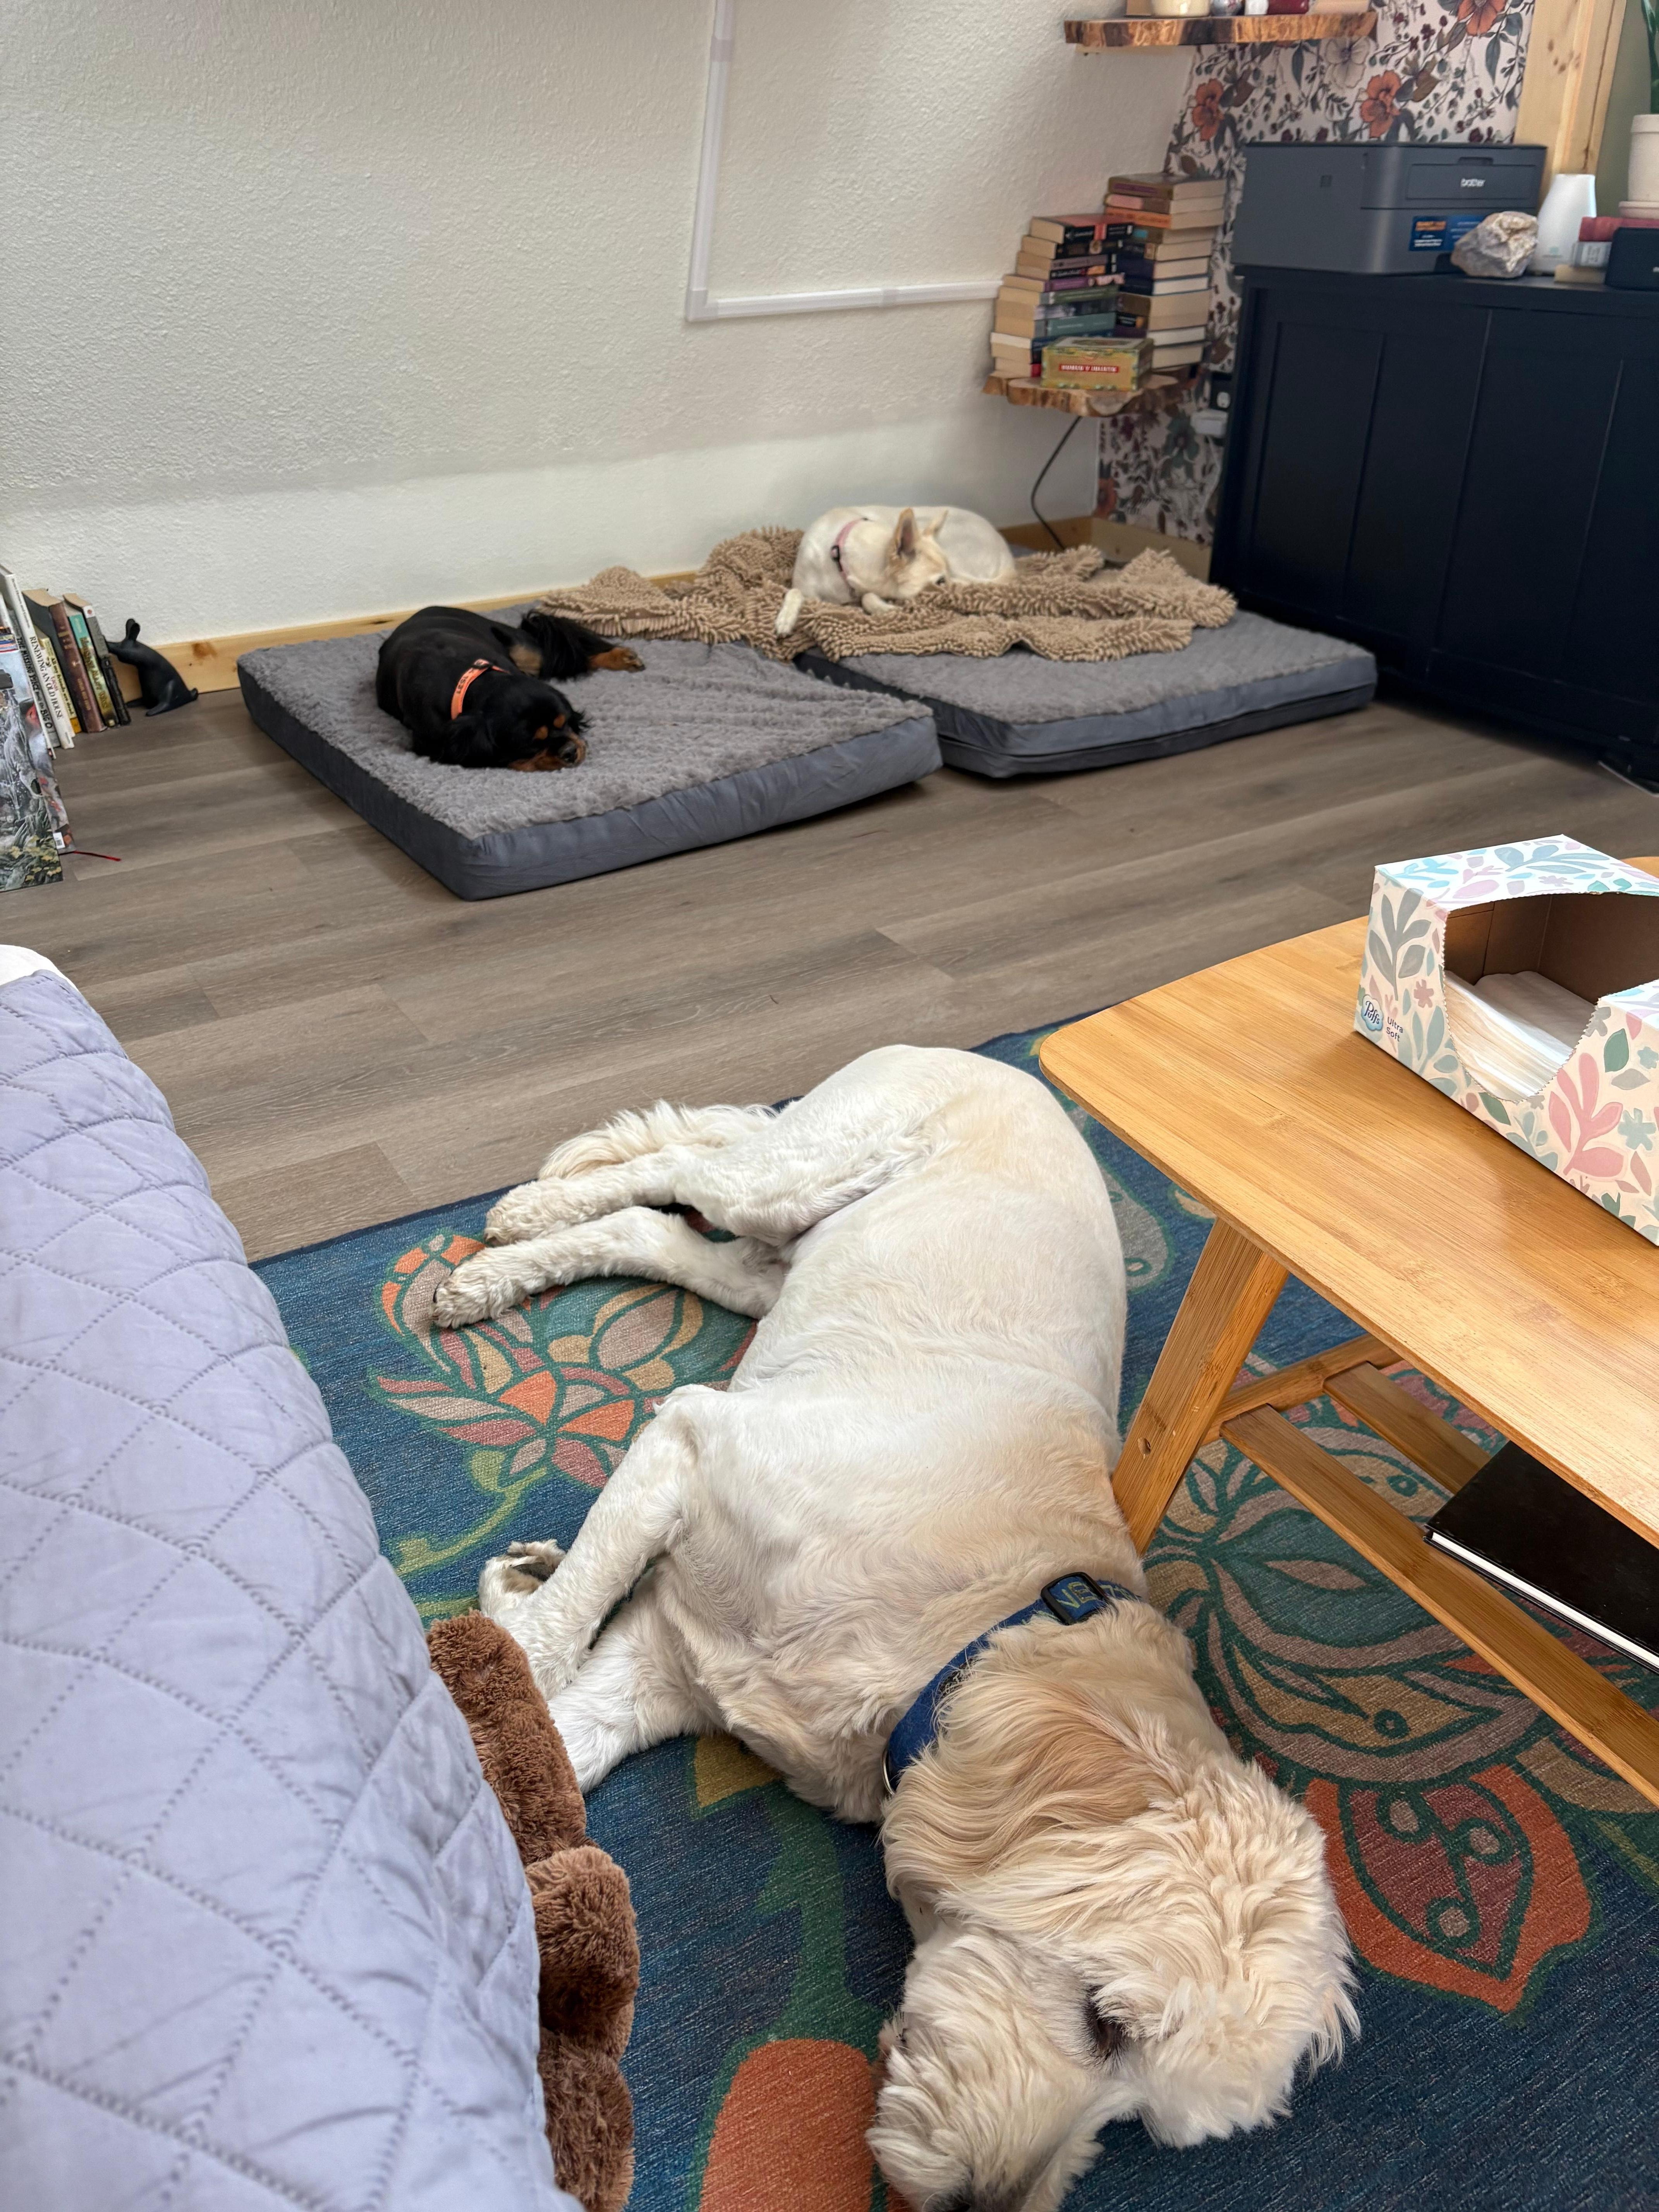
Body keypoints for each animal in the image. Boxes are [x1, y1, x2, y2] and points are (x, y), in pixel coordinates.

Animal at [374, 604, 642, 771]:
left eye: (564, 723)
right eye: (531, 744)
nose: (570, 752)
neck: (473, 679)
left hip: (526, 651)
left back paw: (623, 658)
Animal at [434, 1046, 1356, 2212]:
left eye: (1140, 2122)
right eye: (1104, 2022)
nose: (978, 2209)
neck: (974, 1625)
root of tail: (992, 1061)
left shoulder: (667, 1667)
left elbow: (555, 1738)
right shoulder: (688, 1443)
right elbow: (551, 1646)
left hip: (777, 1270)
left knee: (664, 1234)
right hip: (795, 1174)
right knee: (679, 1168)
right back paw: (515, 1230)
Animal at [776, 504, 1017, 637]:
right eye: (940, 582)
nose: (964, 592)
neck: (839, 557)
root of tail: (1006, 553)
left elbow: (868, 598)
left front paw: (884, 609)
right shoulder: (806, 585)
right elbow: (794, 592)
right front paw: (786, 618)